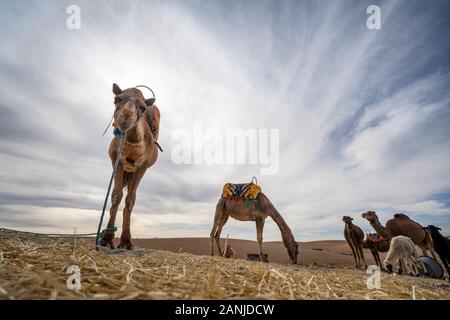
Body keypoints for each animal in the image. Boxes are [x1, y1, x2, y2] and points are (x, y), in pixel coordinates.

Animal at [100, 83, 160, 250]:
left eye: (143, 107)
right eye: (117, 99)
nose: (126, 115)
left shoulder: (143, 166)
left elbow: (130, 199)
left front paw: (126, 241)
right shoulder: (117, 160)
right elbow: (116, 195)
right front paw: (106, 238)